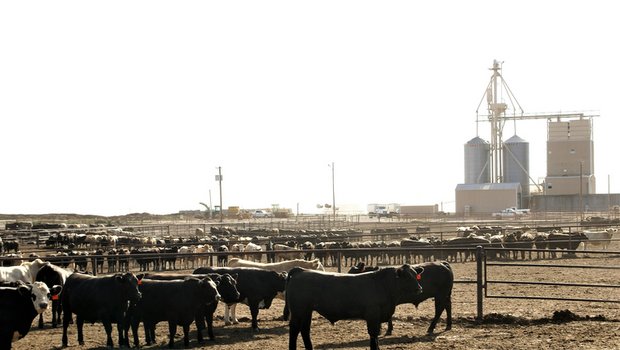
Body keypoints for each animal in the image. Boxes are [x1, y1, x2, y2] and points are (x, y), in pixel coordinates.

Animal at [286, 266, 424, 350]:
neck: (383, 285)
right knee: (294, 330)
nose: (419, 288)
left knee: (305, 330)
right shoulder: (372, 315)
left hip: (306, 311)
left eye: (415, 274)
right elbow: (373, 336)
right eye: (406, 276)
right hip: (298, 311)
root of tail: (302, 270)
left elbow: (376, 336)